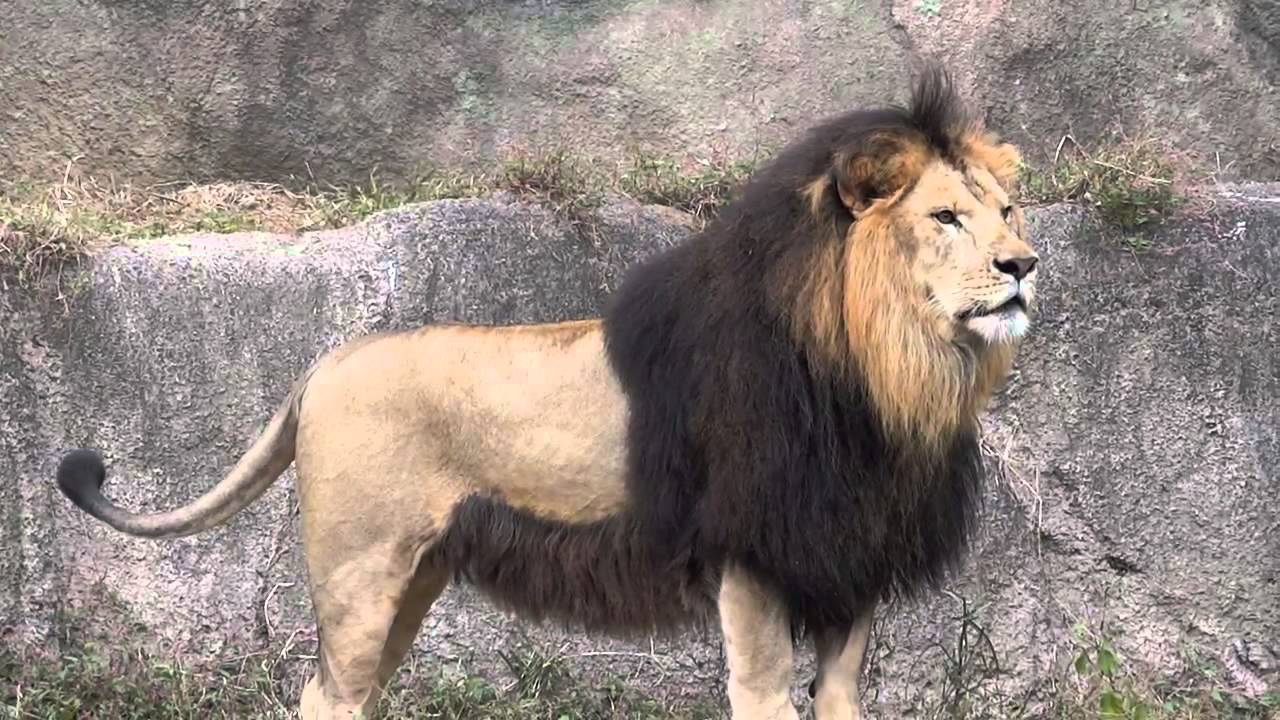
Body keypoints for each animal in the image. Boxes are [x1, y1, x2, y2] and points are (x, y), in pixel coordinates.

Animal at [55, 63, 1039, 720]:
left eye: (1007, 212)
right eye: (945, 216)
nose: (1026, 265)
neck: (888, 374)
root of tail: (320, 366)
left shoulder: (849, 568)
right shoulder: (753, 563)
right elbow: (764, 699)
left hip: (414, 576)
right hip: (357, 571)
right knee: (327, 697)